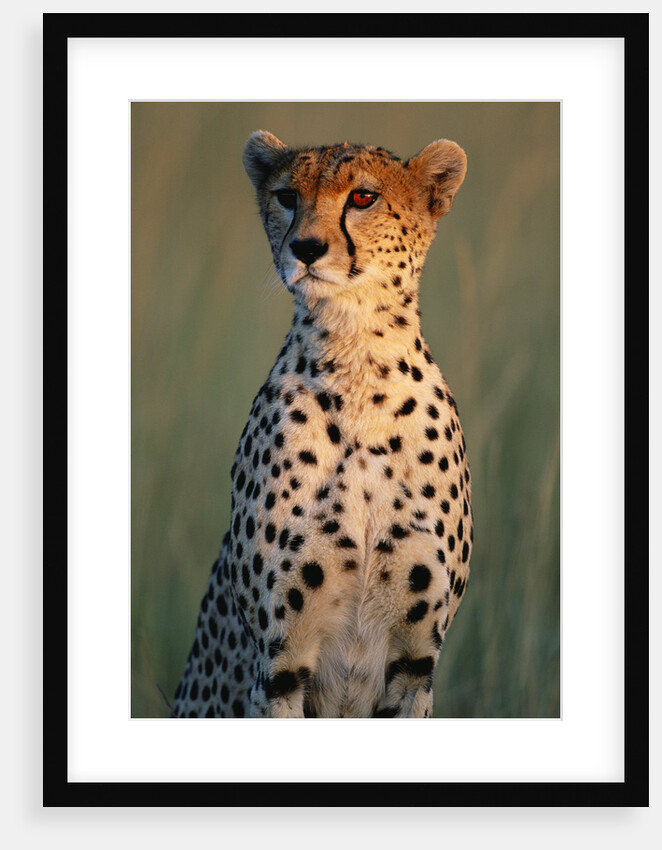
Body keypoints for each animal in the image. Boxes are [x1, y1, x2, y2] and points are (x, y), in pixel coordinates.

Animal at [171, 130, 473, 718]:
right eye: (288, 196)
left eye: (362, 198)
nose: (306, 248)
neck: (359, 367)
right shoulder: (280, 666)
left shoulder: (416, 665)